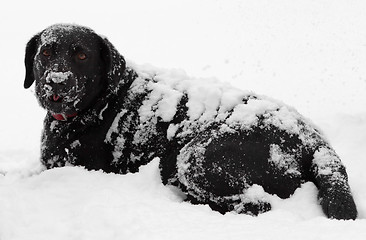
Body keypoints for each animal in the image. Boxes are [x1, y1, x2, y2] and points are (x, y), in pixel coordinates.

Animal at [25, 24, 358, 219]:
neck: (99, 102)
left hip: (195, 156)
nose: (56, 81)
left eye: (82, 56)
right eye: (46, 51)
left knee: (257, 204)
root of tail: (314, 140)